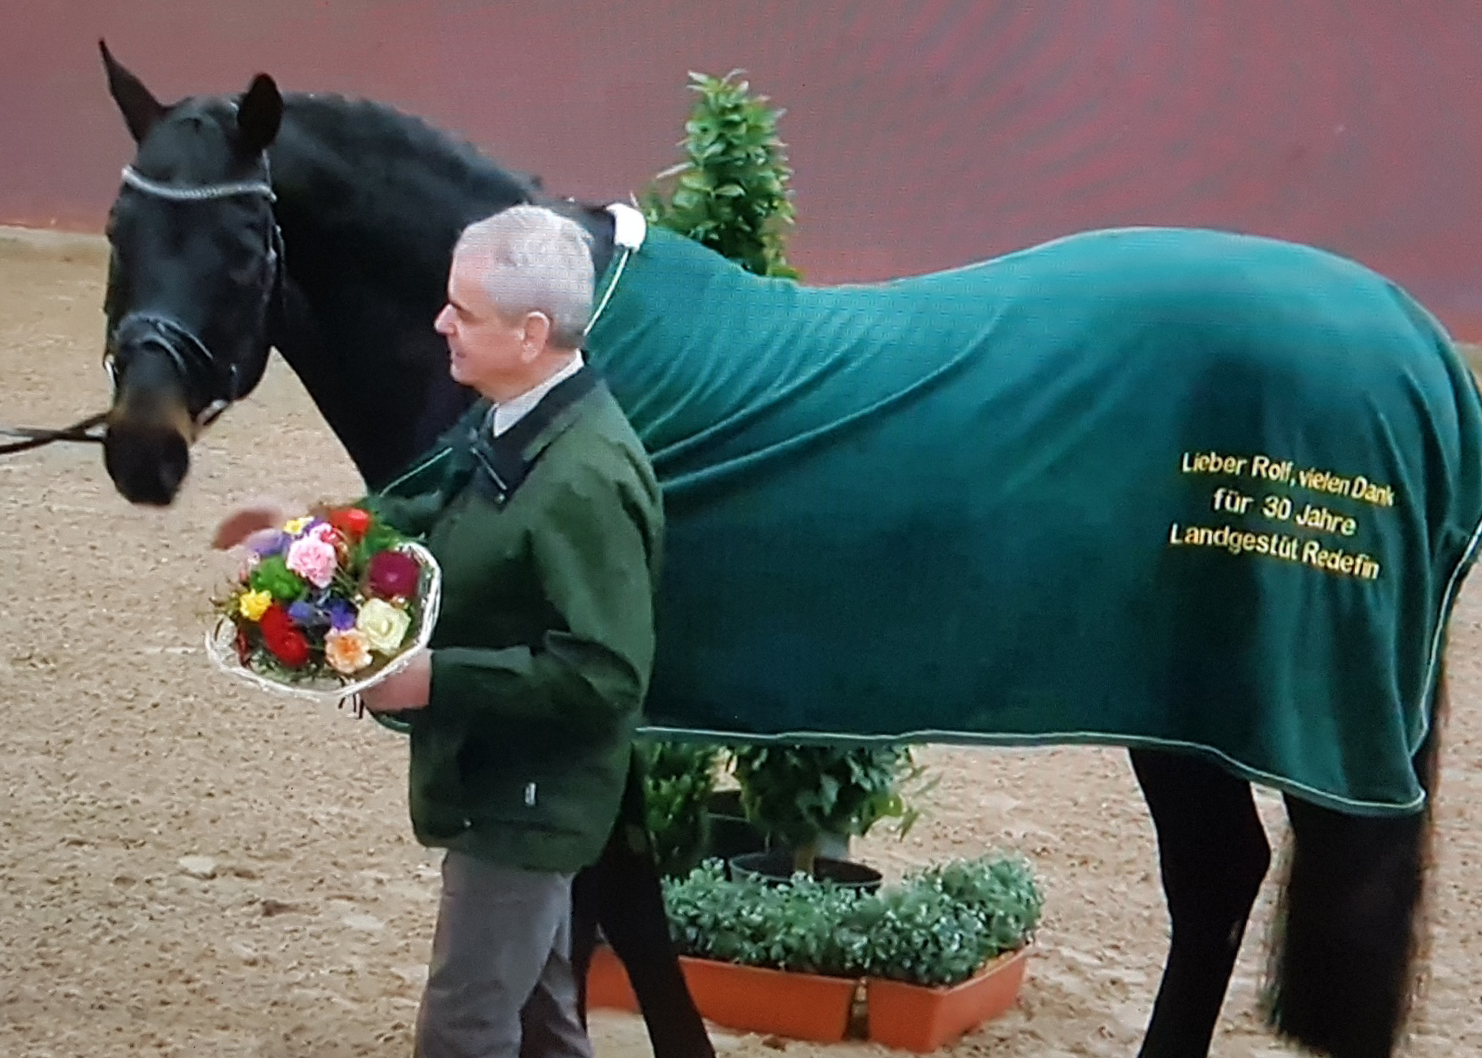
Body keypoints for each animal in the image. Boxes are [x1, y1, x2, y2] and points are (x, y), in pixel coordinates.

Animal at [95, 43, 1470, 1055]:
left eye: (240, 245)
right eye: (118, 230)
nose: (140, 450)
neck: (572, 363)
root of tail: (1417, 343)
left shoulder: (591, 697)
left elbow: (622, 907)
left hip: (1202, 709)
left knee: (1220, 877)